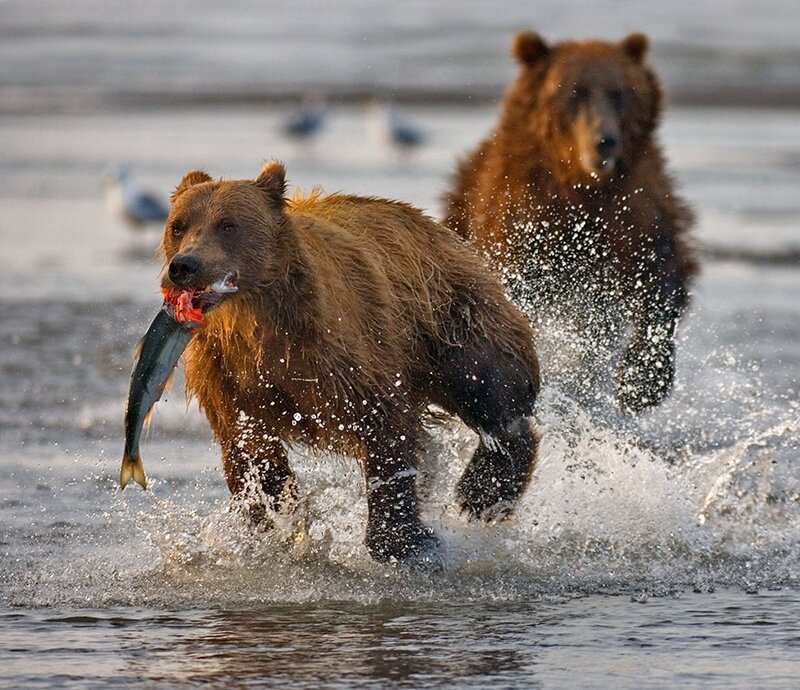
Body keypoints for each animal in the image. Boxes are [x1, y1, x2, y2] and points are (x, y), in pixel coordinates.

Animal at [160, 161, 541, 563]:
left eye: (228, 224)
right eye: (178, 225)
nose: (185, 265)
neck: (254, 325)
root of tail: (442, 229)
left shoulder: (341, 353)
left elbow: (385, 429)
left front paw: (401, 540)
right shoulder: (227, 375)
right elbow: (250, 449)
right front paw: (275, 520)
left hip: (450, 319)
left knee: (490, 392)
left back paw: (481, 492)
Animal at [443, 31, 698, 412]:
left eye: (618, 91)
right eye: (575, 92)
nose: (604, 141)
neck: (582, 187)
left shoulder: (636, 209)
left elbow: (659, 275)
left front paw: (641, 382)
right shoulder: (524, 213)